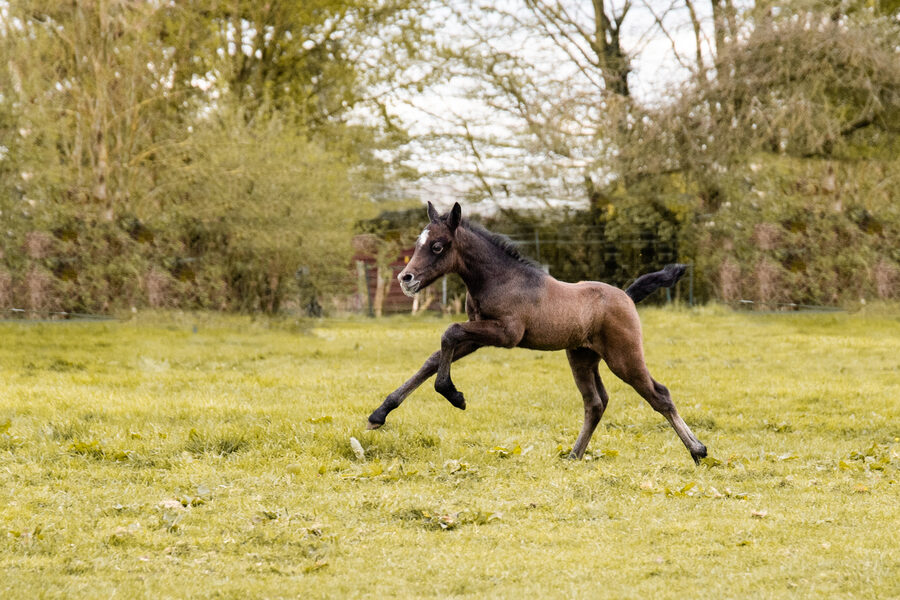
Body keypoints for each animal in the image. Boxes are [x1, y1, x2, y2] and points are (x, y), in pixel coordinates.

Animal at [366, 202, 708, 464]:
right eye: (418, 243)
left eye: (438, 246)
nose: (406, 278)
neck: (500, 278)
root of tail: (626, 296)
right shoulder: (477, 335)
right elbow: (434, 357)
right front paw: (379, 413)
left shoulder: (506, 335)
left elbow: (449, 333)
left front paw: (454, 396)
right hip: (582, 357)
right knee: (595, 403)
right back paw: (574, 456)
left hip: (624, 356)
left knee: (659, 395)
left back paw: (698, 450)